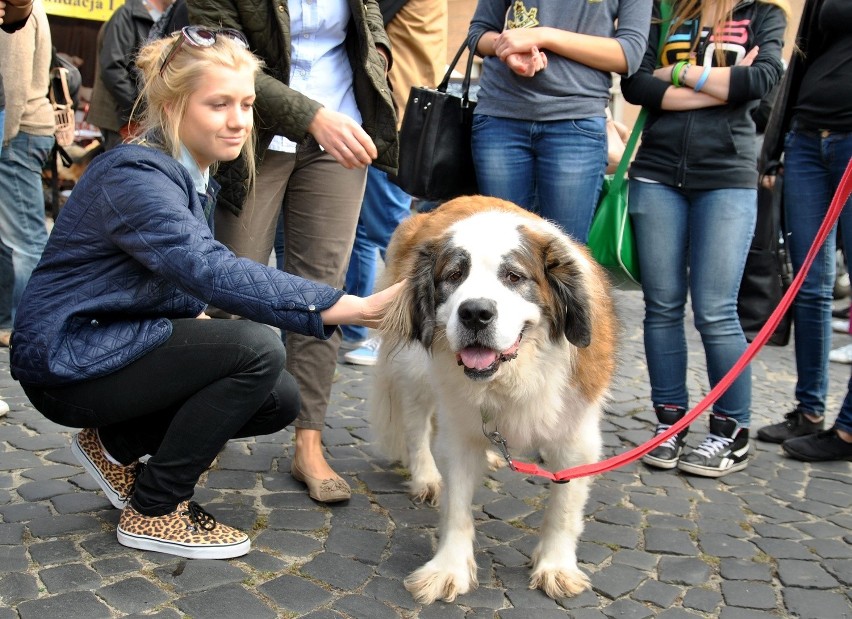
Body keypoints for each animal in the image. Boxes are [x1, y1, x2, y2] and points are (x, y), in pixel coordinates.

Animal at [370, 196, 616, 604]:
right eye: (455, 276)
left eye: (513, 277)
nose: (475, 312)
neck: (513, 375)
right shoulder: (458, 430)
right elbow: (457, 505)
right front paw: (448, 568)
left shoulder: (576, 435)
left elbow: (564, 508)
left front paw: (556, 567)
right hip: (417, 370)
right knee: (417, 425)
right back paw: (426, 476)